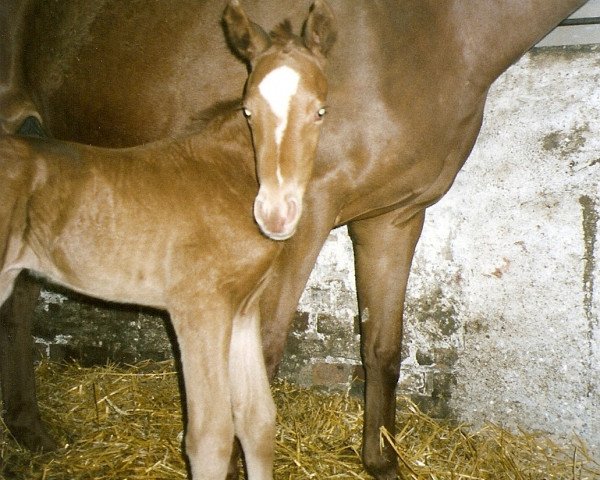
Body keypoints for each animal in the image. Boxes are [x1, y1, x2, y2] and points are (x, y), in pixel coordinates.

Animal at [0, 1, 336, 478]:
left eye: (320, 111)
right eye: (249, 111)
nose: (275, 213)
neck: (226, 176)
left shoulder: (242, 311)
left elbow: (257, 420)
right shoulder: (199, 309)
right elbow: (210, 437)